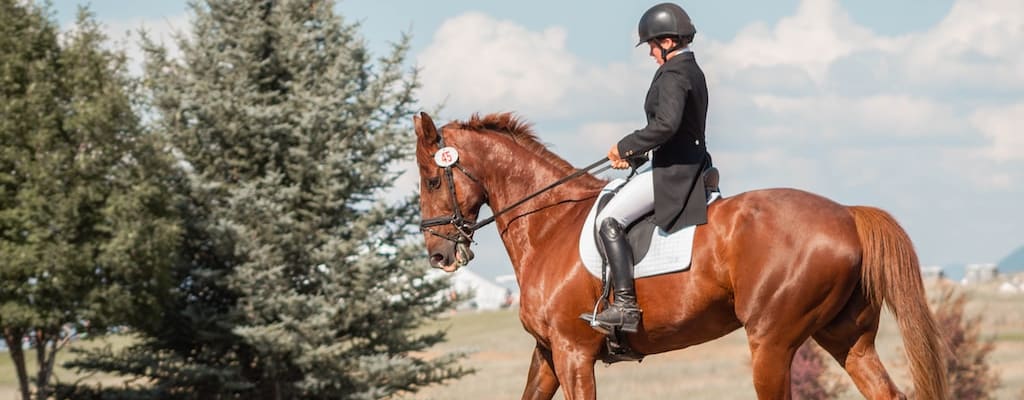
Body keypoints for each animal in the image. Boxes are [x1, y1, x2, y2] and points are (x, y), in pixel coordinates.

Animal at [409, 110, 950, 400]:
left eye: (433, 180)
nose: (439, 255)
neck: (548, 224)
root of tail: (846, 214)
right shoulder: (548, 352)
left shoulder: (572, 352)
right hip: (846, 338)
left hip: (771, 342)